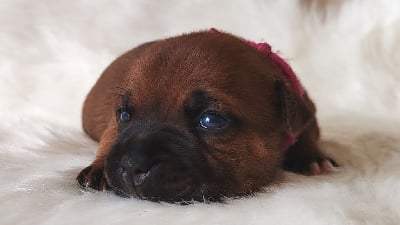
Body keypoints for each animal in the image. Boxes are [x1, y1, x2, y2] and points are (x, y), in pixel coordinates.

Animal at [76, 28, 336, 202]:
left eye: (211, 120)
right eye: (124, 115)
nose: (131, 166)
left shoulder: (307, 113)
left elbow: (306, 133)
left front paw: (311, 156)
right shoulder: (113, 124)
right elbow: (111, 137)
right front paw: (98, 168)